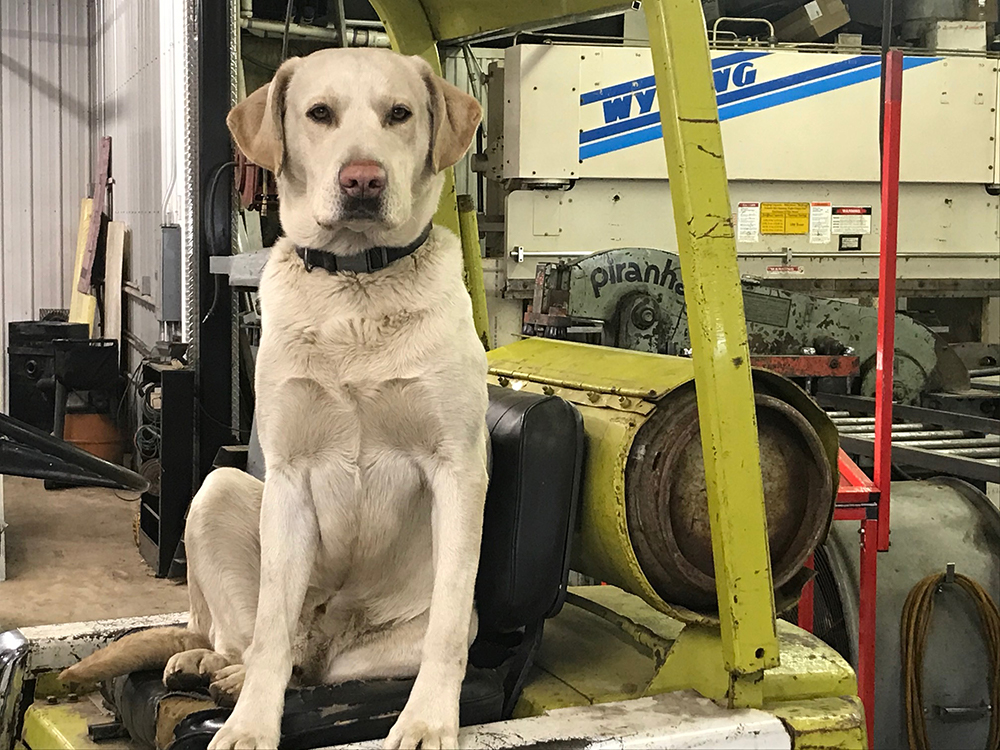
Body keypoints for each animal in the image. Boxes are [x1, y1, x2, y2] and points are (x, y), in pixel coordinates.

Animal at [58, 48, 488, 750]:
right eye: (320, 114)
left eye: (400, 113)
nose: (363, 181)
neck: (357, 288)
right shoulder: (288, 476)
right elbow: (270, 630)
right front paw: (250, 725)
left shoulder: (457, 471)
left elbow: (446, 629)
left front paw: (427, 721)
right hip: (216, 491)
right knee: (247, 637)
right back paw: (214, 669)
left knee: (325, 663)